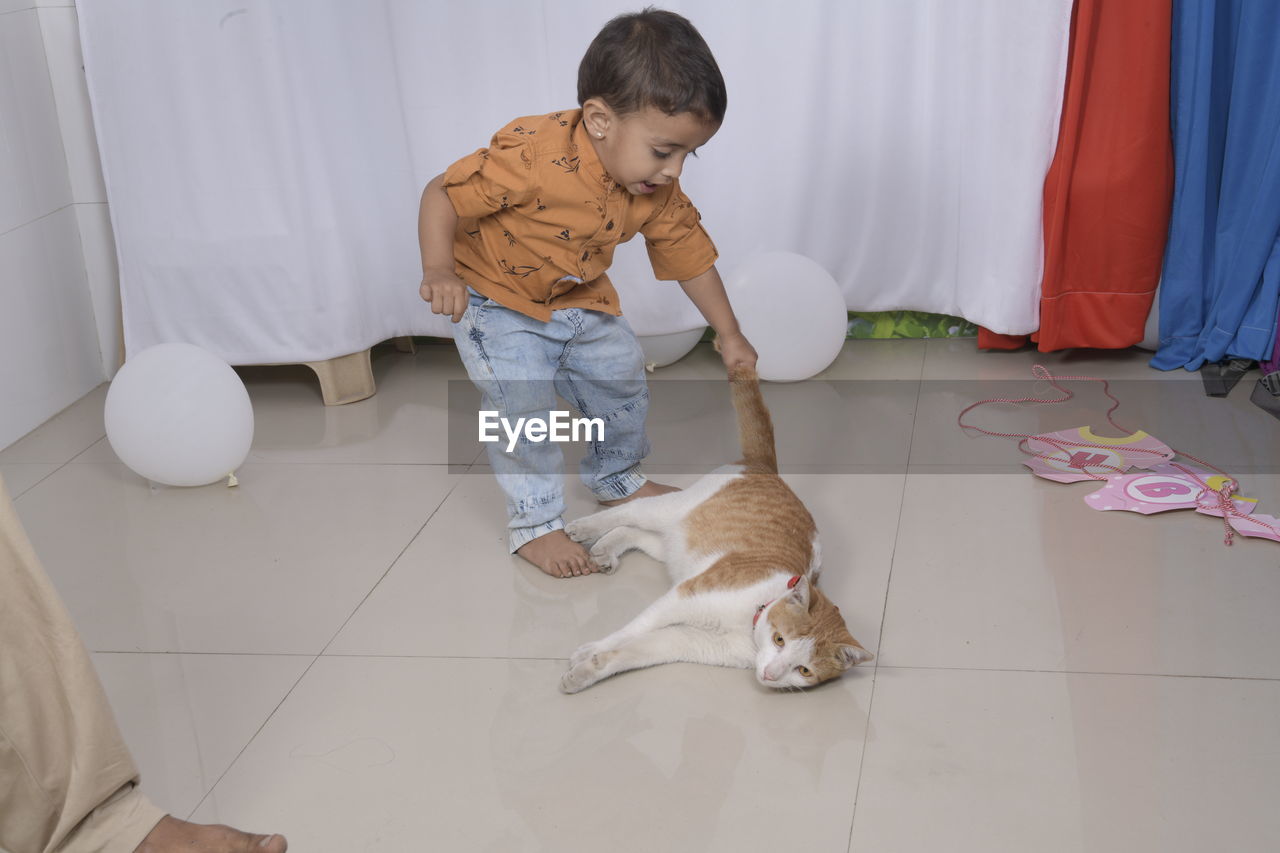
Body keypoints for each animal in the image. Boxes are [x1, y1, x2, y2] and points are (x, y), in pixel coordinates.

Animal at [560, 363, 870, 691]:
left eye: (804, 670)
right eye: (780, 640)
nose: (771, 674)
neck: (752, 616)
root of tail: (766, 466)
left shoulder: (687, 639)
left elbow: (637, 650)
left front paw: (587, 670)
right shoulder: (681, 598)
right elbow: (633, 628)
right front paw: (592, 650)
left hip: (683, 545)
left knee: (635, 534)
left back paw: (604, 551)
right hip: (670, 510)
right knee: (629, 511)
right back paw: (583, 528)